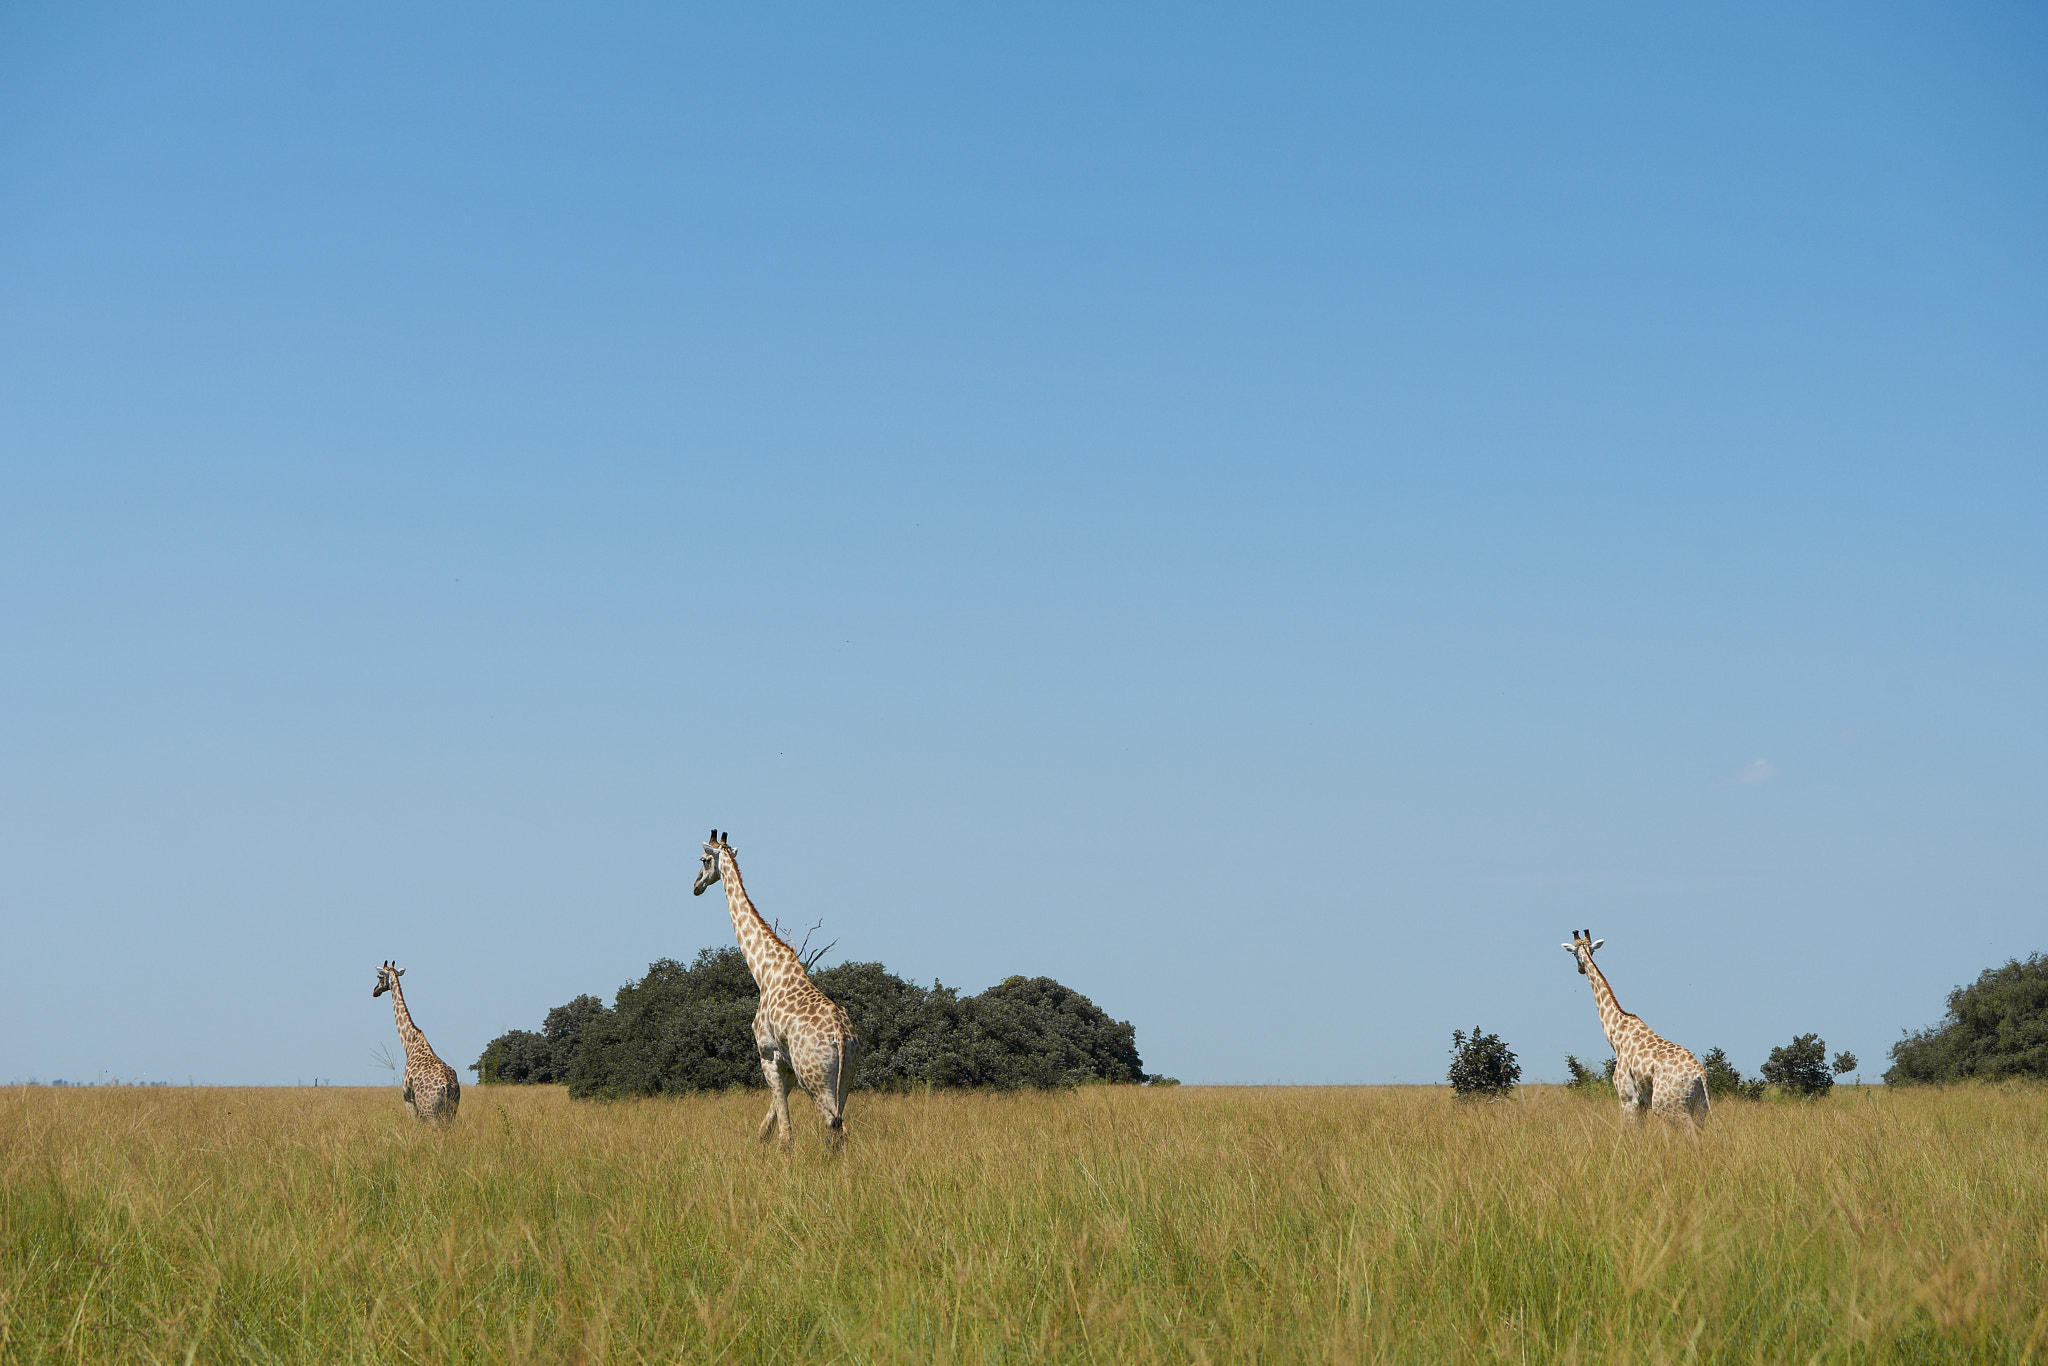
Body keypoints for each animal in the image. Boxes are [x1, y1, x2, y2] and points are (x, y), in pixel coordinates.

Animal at [374, 958, 462, 1130]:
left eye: (379, 977)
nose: (375, 991)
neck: (410, 1043)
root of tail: (447, 1086)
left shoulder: (408, 1098)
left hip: (431, 1113)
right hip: (451, 1112)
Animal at [696, 827, 856, 1146]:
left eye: (704, 860)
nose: (696, 885)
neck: (764, 971)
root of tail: (842, 1037)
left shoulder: (768, 1053)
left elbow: (783, 1125)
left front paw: (781, 1147)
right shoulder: (787, 1062)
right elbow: (772, 1115)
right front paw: (761, 1140)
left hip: (815, 1079)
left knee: (832, 1126)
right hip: (846, 1079)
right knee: (841, 1127)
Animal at [1564, 929, 1712, 1130]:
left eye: (1573, 953)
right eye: (1590, 950)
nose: (1580, 969)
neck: (1616, 1034)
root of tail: (1700, 1075)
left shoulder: (1627, 1097)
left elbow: (1629, 1131)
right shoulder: (1641, 1102)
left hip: (1667, 1105)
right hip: (1700, 1107)